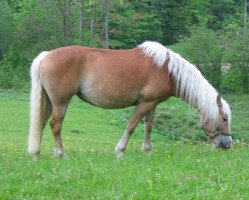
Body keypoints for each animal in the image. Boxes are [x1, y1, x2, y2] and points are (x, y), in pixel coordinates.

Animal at [28, 41, 232, 159]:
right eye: (224, 118)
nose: (227, 145)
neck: (167, 70)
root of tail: (46, 55)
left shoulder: (152, 104)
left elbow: (148, 127)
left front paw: (147, 151)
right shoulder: (144, 103)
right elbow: (132, 126)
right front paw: (120, 151)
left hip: (50, 102)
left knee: (42, 123)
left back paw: (36, 154)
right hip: (61, 102)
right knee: (55, 125)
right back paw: (61, 154)